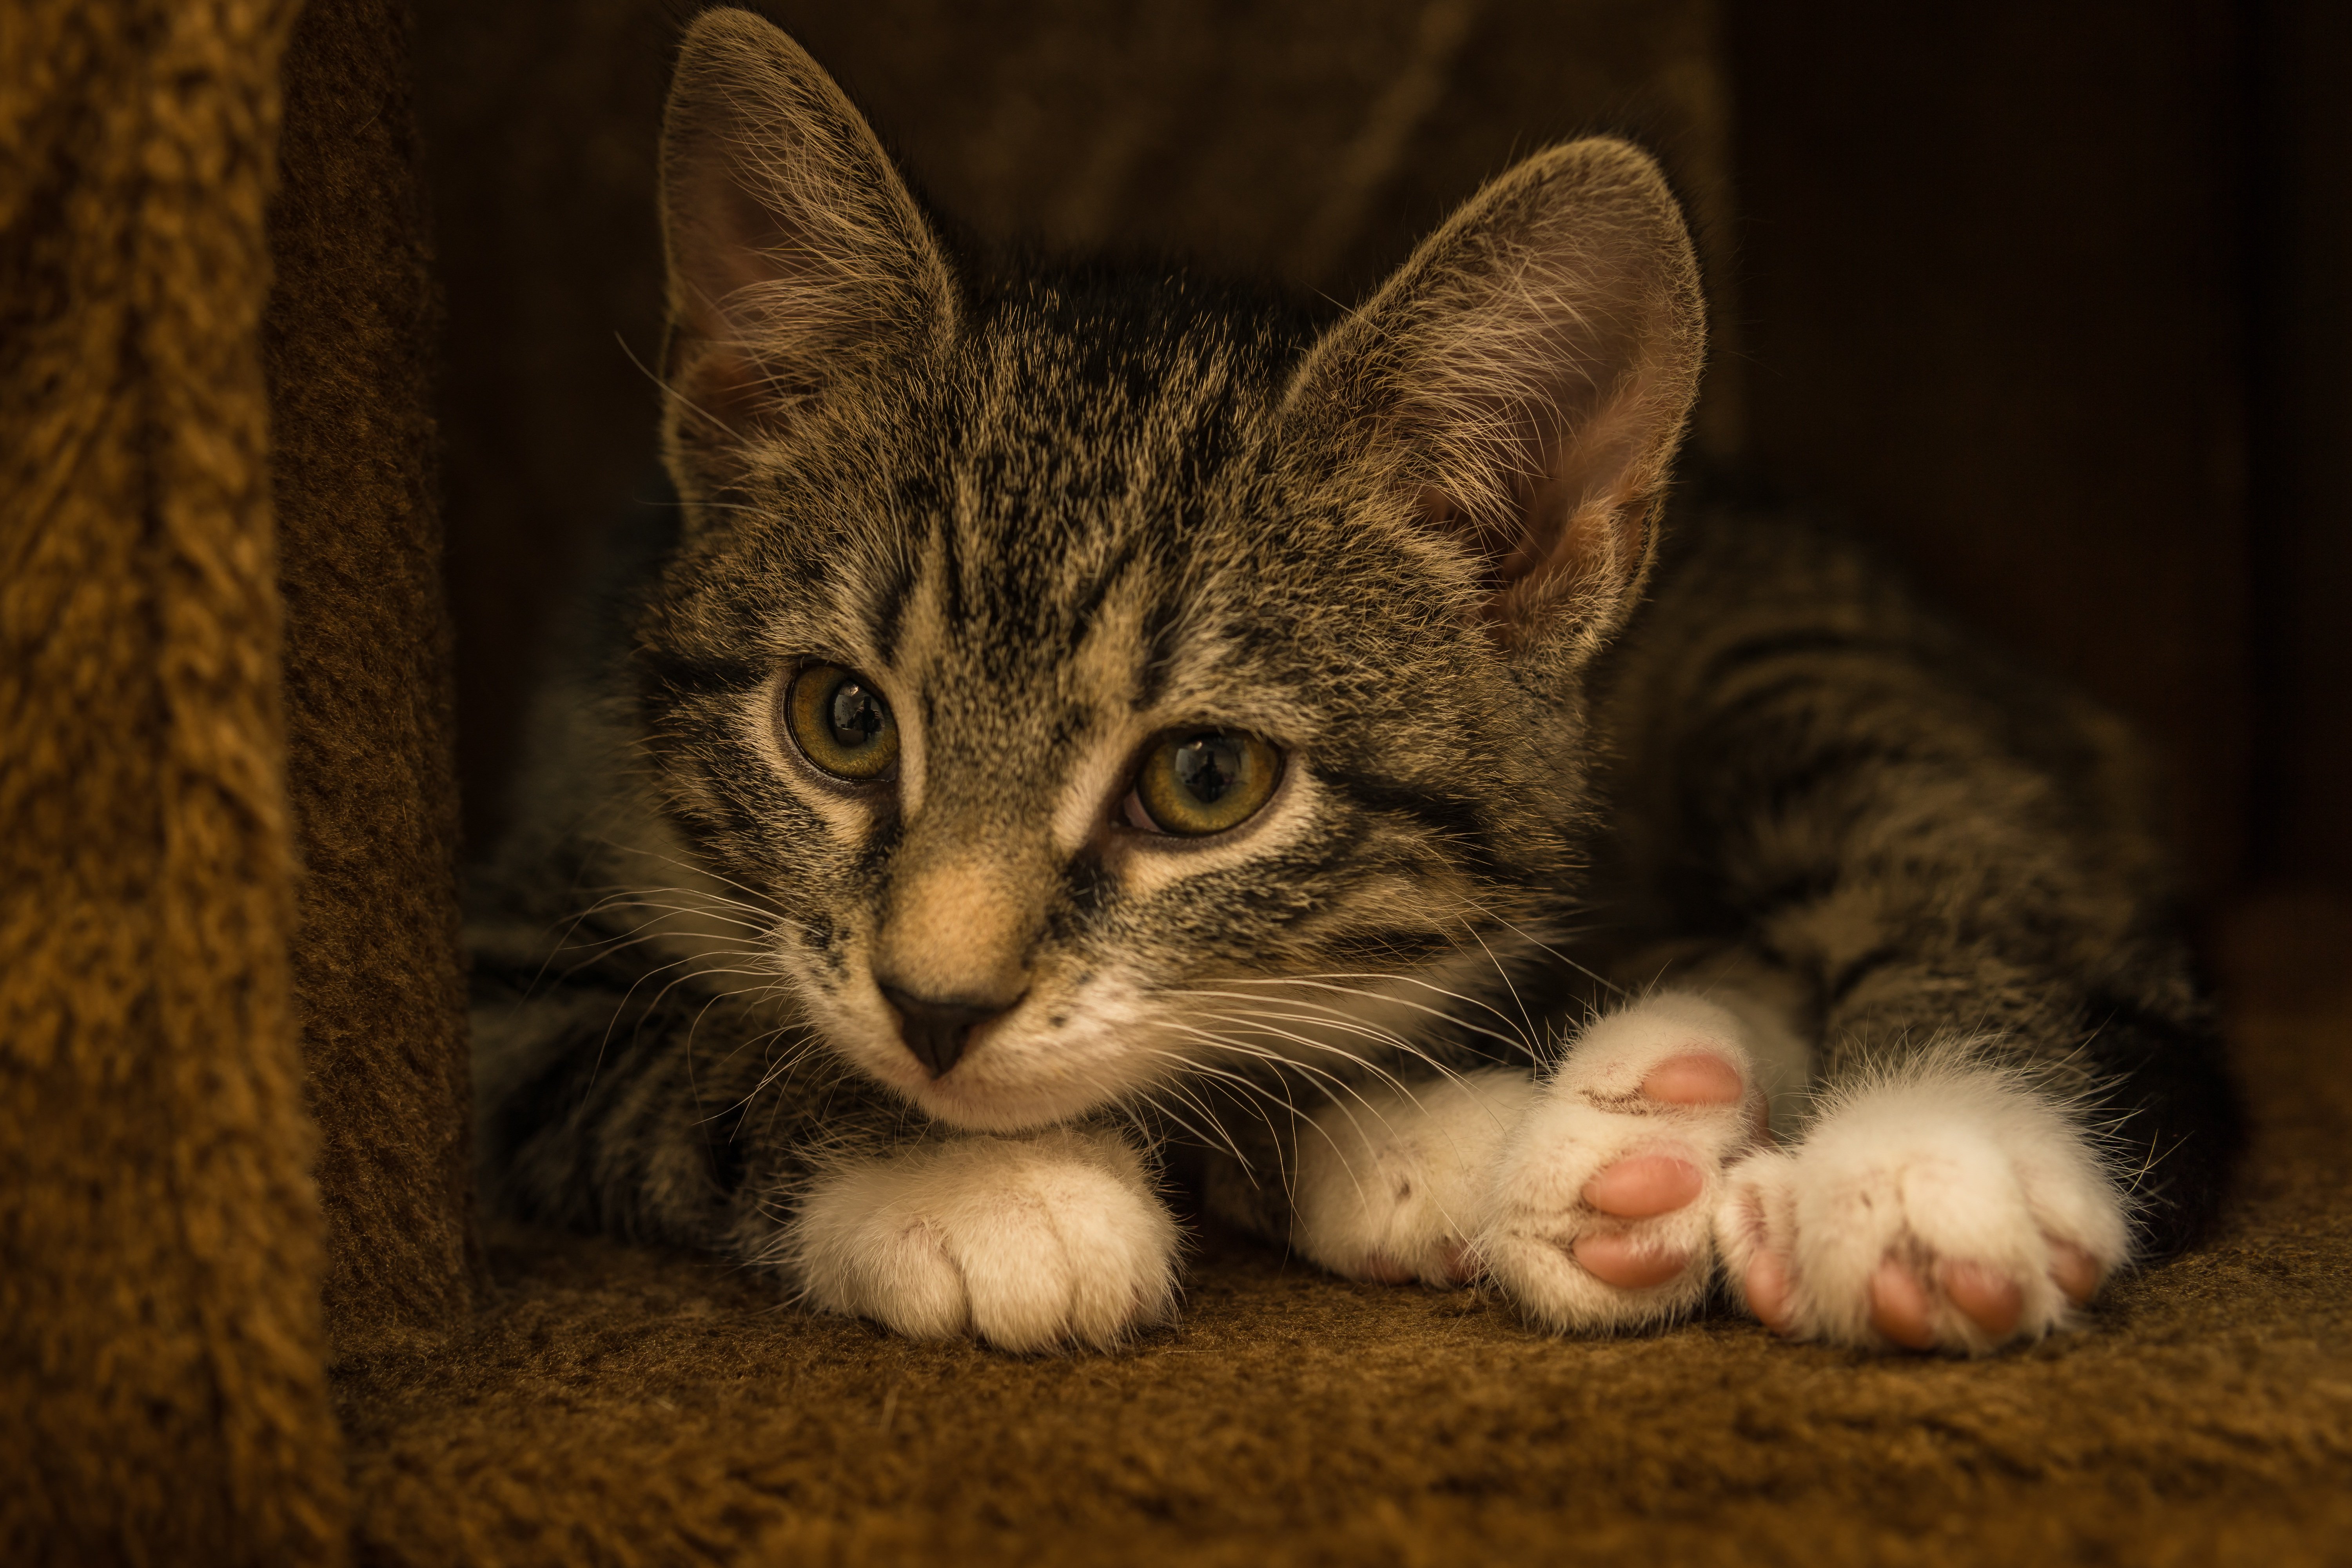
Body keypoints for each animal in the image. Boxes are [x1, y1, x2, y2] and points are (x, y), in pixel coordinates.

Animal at [463, 9, 2239, 1363]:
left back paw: (1919, 1151)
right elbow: (685, 1052)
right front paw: (985, 1186)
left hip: (1807, 651)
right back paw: (1652, 1113)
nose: (938, 1010)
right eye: (840, 722)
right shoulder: (505, 933)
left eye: (1206, 782)